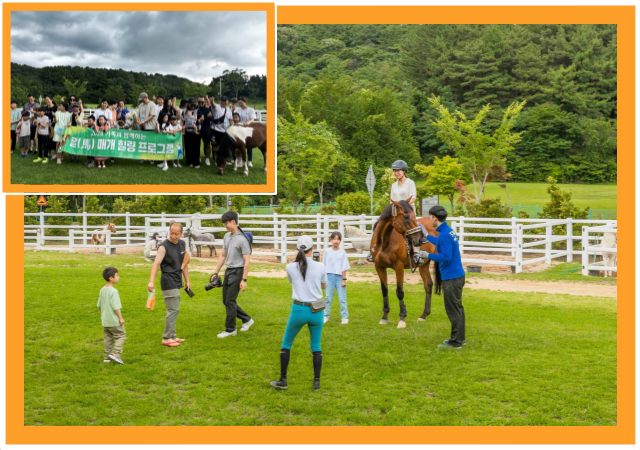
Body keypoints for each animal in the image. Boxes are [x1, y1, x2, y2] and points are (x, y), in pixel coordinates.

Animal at [368, 199, 442, 328]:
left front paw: (402, 318)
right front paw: (384, 317)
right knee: (428, 284)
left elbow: (400, 291)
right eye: (406, 216)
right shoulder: (379, 267)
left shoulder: (399, 267)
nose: (420, 239)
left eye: (414, 216)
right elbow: (384, 290)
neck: (384, 242)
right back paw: (423, 315)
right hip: (424, 265)